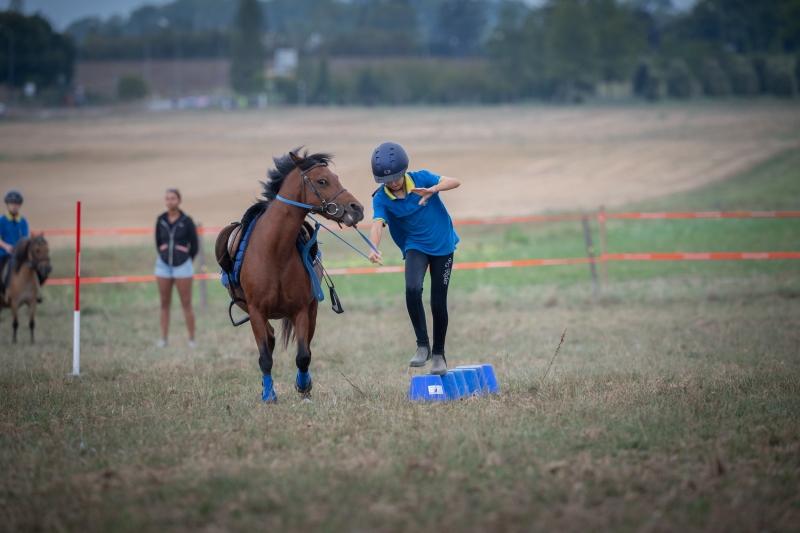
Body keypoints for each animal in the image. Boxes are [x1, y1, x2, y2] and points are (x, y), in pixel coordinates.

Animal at [231, 148, 366, 402]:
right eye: (322, 181)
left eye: (336, 178)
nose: (357, 208)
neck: (275, 251)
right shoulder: (256, 311)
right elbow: (265, 357)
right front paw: (269, 395)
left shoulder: (302, 310)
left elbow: (303, 355)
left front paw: (304, 389)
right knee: (270, 339)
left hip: (312, 312)